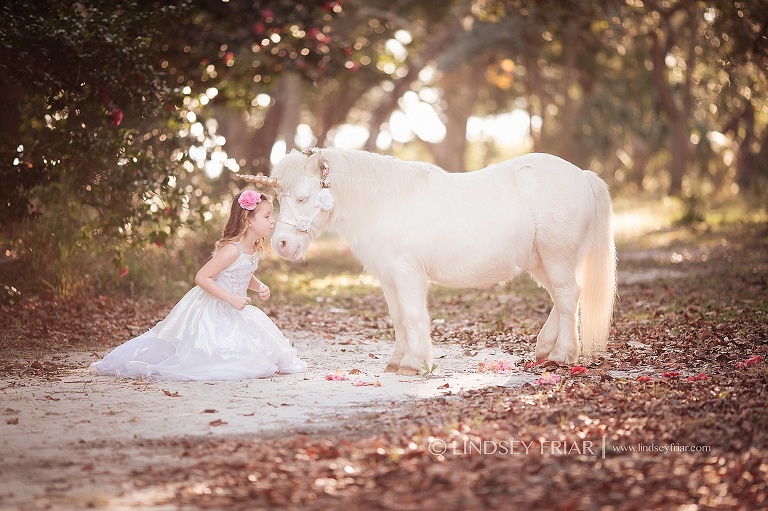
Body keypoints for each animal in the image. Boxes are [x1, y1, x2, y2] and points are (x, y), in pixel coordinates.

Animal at [242, 148, 616, 376]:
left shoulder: (408, 274)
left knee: (567, 295)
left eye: (304, 198)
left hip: (557, 256)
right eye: (280, 197)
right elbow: (397, 319)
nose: (282, 244)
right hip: (541, 261)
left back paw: (562, 355)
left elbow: (412, 316)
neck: (387, 202)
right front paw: (397, 361)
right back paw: (544, 350)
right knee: (563, 298)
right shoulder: (388, 277)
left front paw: (414, 363)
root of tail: (583, 175)